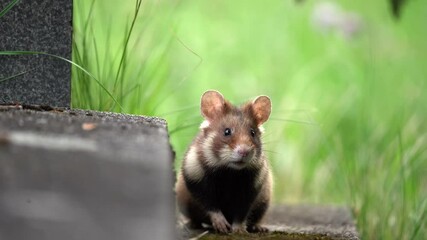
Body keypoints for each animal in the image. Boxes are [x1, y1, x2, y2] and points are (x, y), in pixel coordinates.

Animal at [176, 89, 272, 232]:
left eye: (253, 133)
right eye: (227, 131)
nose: (244, 152)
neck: (229, 172)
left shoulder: (251, 188)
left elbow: (241, 212)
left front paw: (239, 230)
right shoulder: (196, 181)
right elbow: (211, 206)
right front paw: (222, 227)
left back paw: (259, 228)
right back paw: (191, 225)